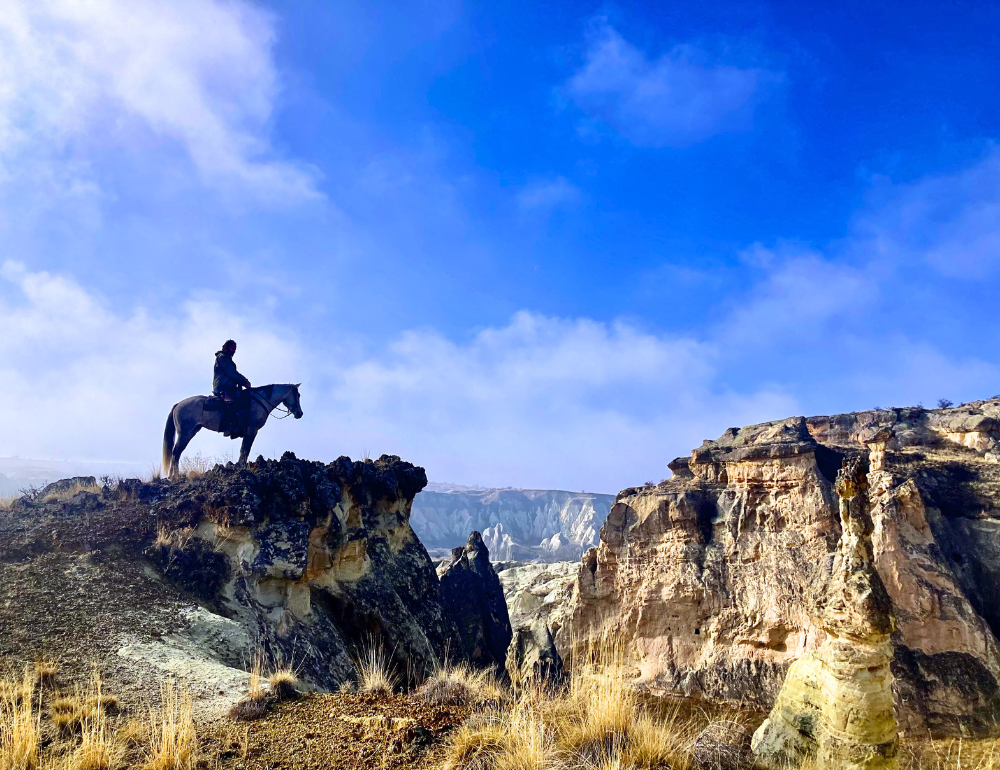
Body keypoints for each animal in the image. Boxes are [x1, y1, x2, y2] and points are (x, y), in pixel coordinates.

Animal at [162, 382, 302, 476]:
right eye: (298, 395)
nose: (300, 413)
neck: (260, 401)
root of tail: (178, 405)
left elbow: (244, 450)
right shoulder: (251, 430)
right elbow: (245, 450)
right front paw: (241, 466)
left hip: (191, 432)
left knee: (177, 453)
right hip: (184, 433)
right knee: (176, 452)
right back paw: (174, 476)